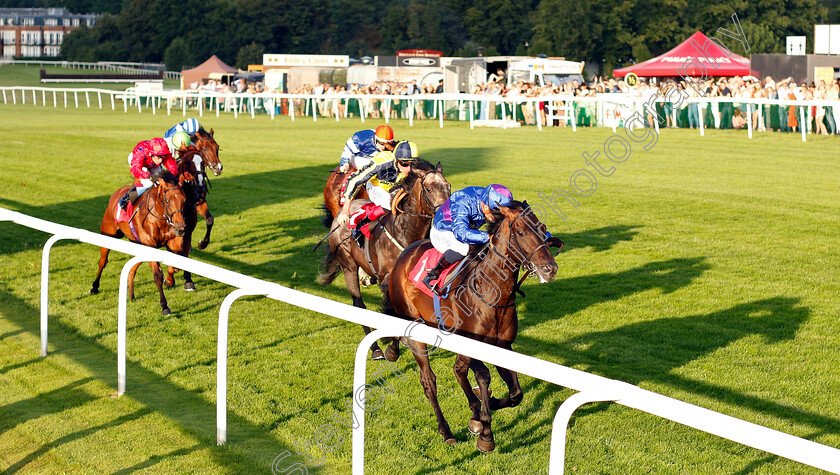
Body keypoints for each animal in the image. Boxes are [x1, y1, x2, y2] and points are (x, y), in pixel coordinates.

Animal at [89, 169, 194, 318]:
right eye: (167, 200)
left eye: (183, 200)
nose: (181, 228)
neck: (160, 216)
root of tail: (117, 193)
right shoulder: (150, 244)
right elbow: (157, 275)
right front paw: (165, 306)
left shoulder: (172, 241)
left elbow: (177, 264)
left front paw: (170, 280)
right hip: (108, 234)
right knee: (102, 262)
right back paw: (94, 287)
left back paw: (131, 292)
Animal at [316, 158, 450, 358]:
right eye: (428, 188)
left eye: (448, 186)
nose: (446, 216)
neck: (404, 232)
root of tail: (339, 216)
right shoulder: (387, 280)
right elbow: (392, 312)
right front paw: (392, 349)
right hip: (348, 265)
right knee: (359, 305)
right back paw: (375, 348)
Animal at [388, 202, 556, 454]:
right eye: (521, 232)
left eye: (543, 229)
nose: (550, 269)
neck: (491, 292)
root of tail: (404, 254)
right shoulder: (472, 342)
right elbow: (484, 376)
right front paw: (486, 434)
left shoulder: (503, 346)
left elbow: (516, 393)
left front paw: (486, 408)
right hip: (416, 329)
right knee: (429, 381)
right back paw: (447, 431)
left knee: (458, 370)